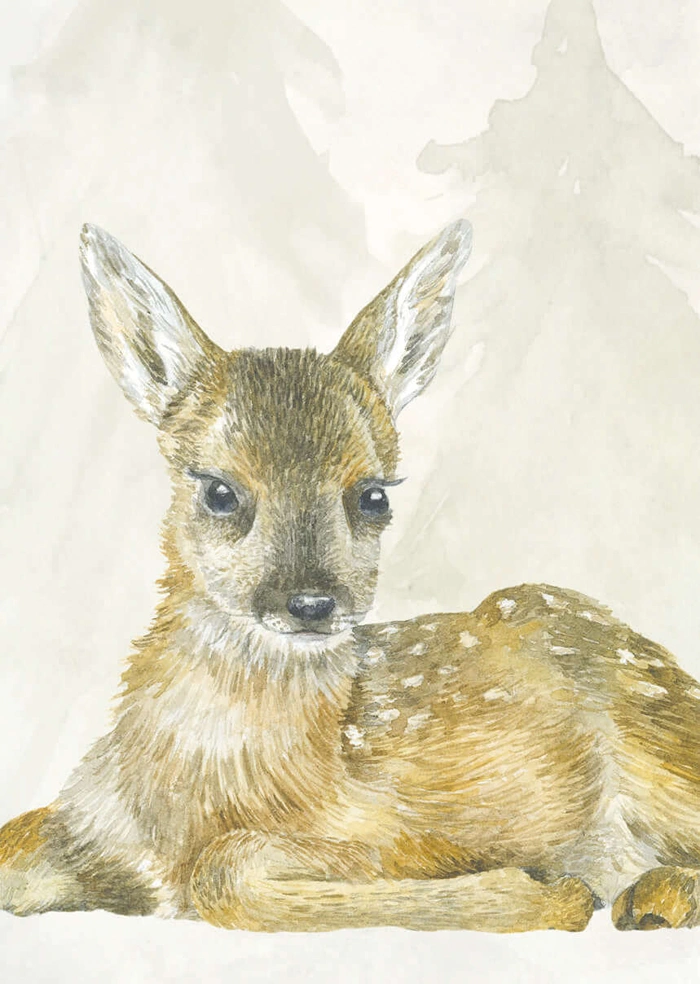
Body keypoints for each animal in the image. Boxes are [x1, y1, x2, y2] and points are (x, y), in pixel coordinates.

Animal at [1, 218, 699, 933]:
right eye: (219, 491)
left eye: (373, 496)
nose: (312, 602)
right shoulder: (85, 822)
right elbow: (20, 838)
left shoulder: (401, 831)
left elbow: (224, 872)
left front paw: (548, 894)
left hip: (658, 744)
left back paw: (653, 898)